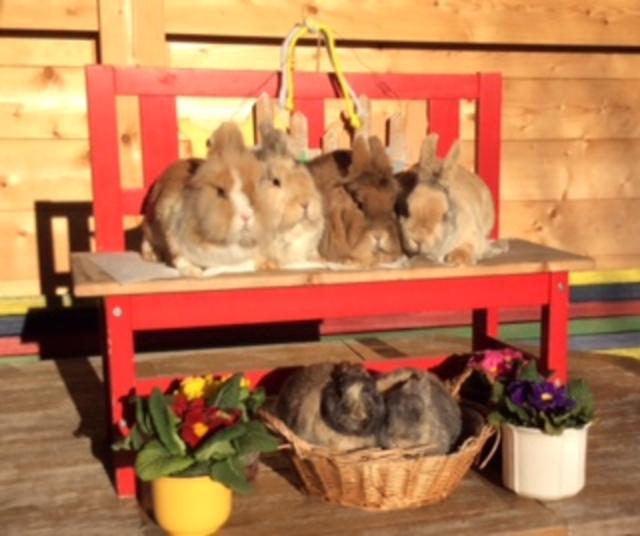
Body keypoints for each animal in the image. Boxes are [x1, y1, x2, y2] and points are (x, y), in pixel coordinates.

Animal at [141, 122, 265, 277]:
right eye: (220, 191)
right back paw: (152, 256)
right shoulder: (171, 234)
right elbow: (180, 258)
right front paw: (193, 272)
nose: (246, 216)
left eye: (252, 189)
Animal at [395, 134, 508, 265]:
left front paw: (457, 258)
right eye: (406, 210)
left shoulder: (472, 235)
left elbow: (468, 246)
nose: (418, 239)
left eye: (444, 216)